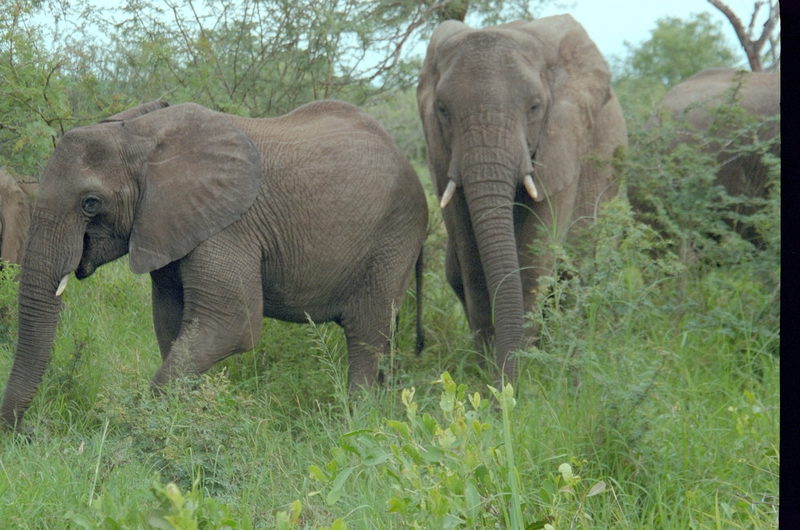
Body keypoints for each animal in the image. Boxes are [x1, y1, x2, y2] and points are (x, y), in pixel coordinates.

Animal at [1, 100, 432, 428]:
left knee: (366, 332)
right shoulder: (167, 223)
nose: (19, 434)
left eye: (91, 203)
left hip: (394, 234)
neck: (140, 134)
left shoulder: (228, 227)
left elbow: (230, 326)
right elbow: (171, 323)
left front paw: (144, 425)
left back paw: (356, 421)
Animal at [416, 14, 628, 382]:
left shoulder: (564, 141)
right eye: (442, 110)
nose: (503, 380)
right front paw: (488, 371)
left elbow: (533, 255)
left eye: (534, 107)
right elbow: (471, 257)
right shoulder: (440, 156)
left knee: (575, 270)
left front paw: (520, 371)